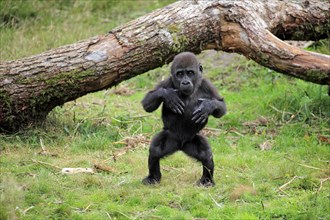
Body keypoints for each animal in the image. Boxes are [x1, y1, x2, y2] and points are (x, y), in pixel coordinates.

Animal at [141, 52, 226, 186]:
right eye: (180, 74)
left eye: (190, 73)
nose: (185, 82)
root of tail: (180, 146)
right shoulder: (167, 82)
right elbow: (147, 103)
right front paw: (169, 95)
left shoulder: (207, 84)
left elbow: (220, 107)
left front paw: (207, 107)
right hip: (171, 138)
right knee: (155, 149)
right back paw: (153, 178)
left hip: (190, 141)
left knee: (205, 154)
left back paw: (206, 180)